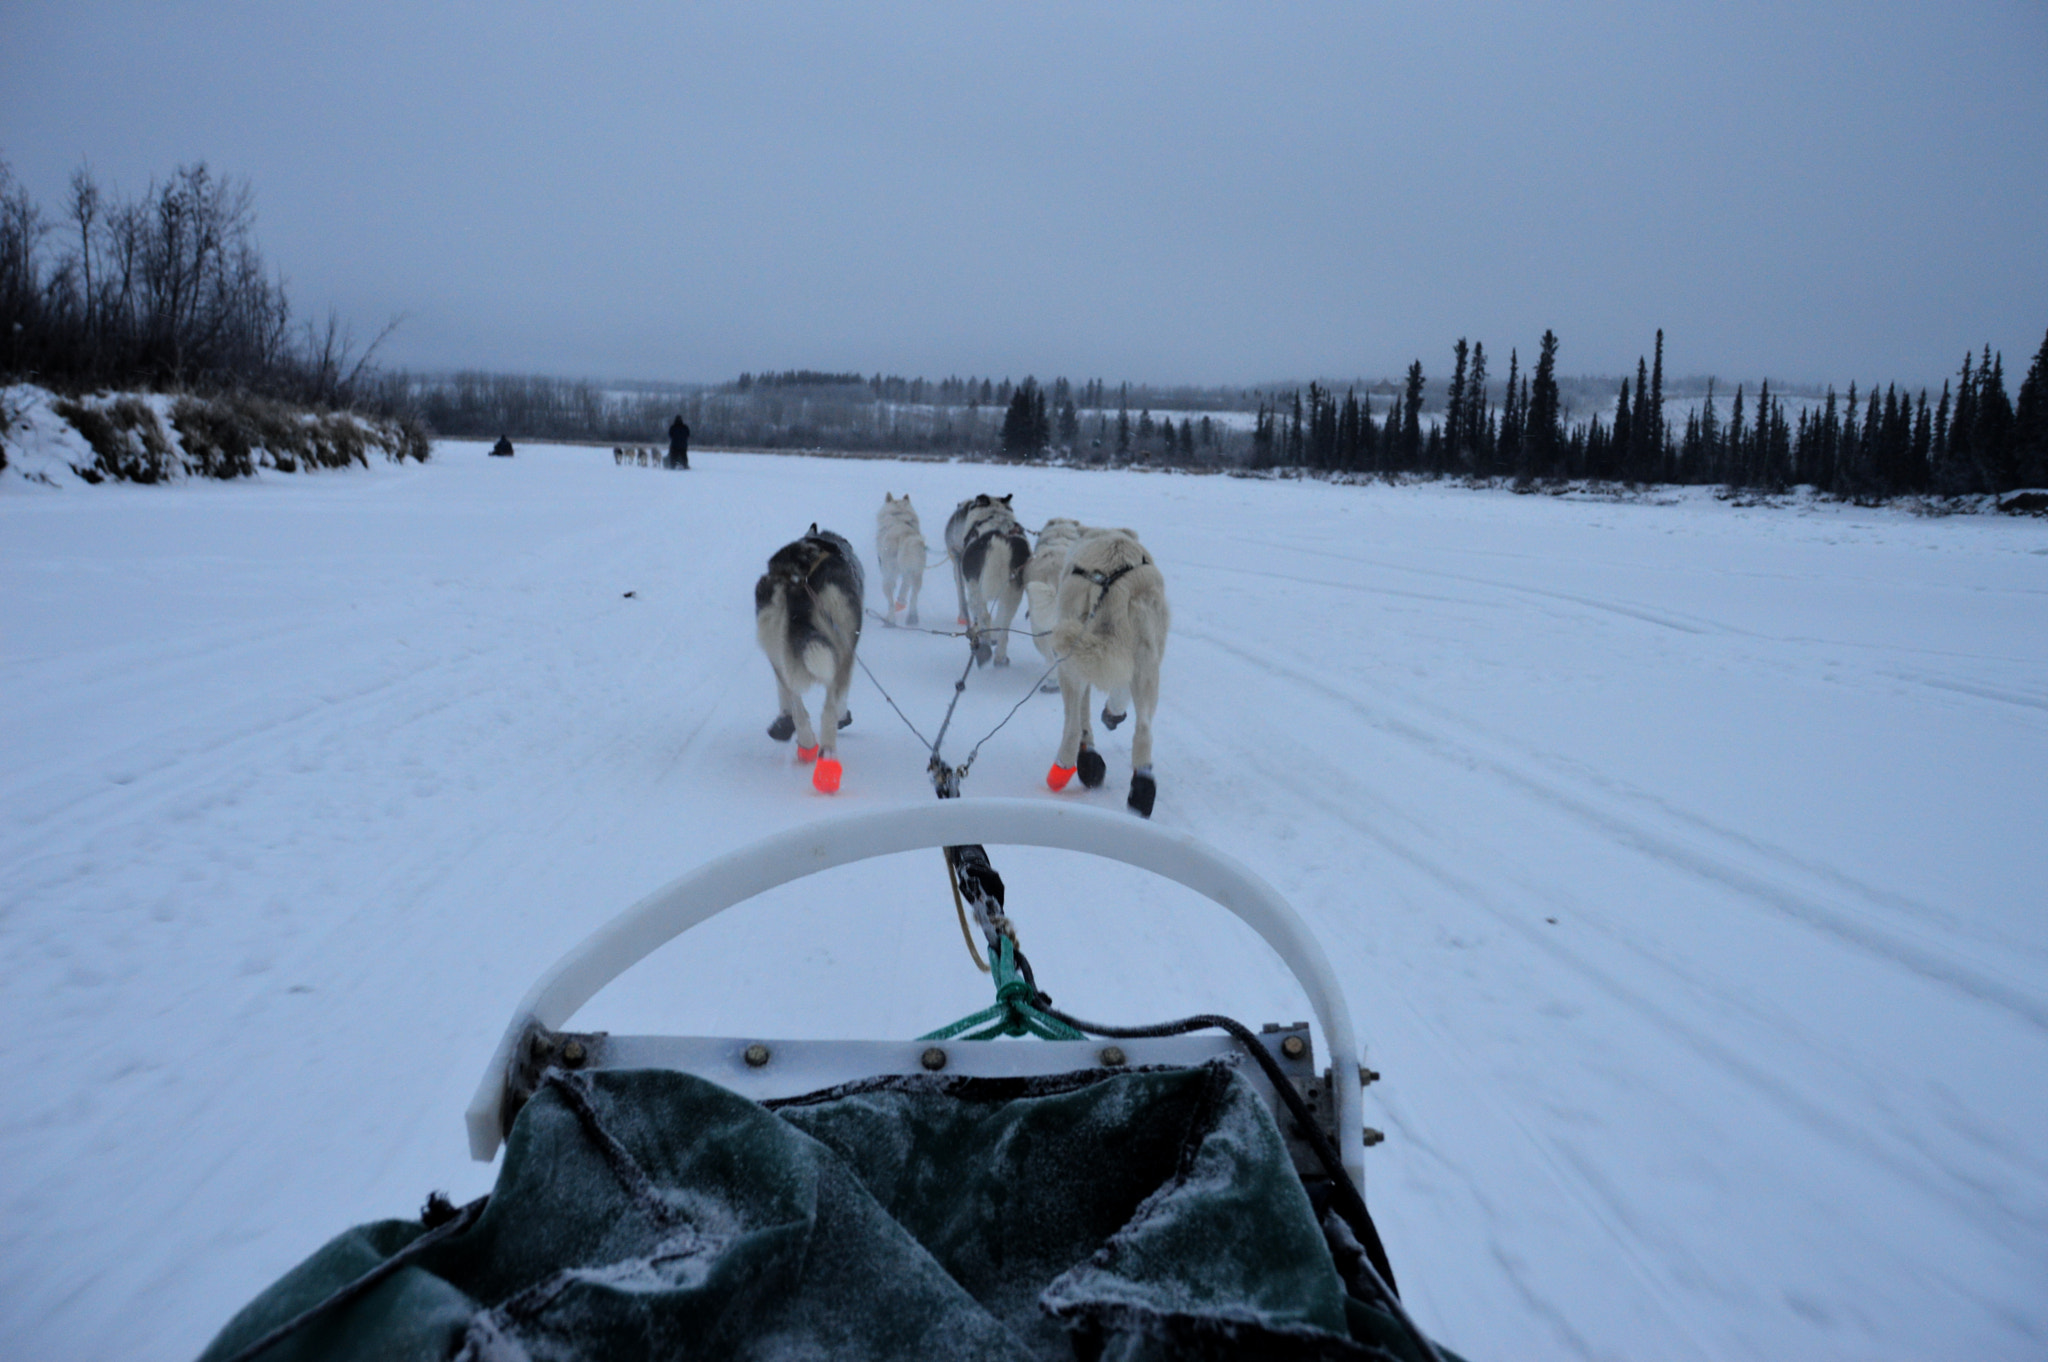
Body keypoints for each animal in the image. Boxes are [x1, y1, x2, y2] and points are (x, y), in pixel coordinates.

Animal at [757, 524, 860, 790]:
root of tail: (798, 581)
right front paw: (844, 717)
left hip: (774, 640)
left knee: (795, 700)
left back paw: (804, 742)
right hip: (840, 648)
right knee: (828, 711)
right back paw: (828, 761)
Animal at [872, 491, 929, 622]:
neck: (898, 516)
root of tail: (904, 536)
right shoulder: (908, 572)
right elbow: (905, 587)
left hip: (888, 576)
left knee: (890, 602)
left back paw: (889, 620)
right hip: (917, 575)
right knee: (913, 596)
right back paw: (912, 618)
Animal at [950, 493, 1032, 663]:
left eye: (971, 504)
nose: (959, 504)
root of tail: (1000, 537)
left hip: (976, 590)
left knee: (985, 617)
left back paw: (984, 643)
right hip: (1014, 593)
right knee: (1004, 624)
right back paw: (1000, 657)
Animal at [1056, 524, 1171, 811]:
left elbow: (1083, 715)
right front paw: (1113, 714)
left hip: (1069, 659)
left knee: (1073, 726)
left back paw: (1066, 766)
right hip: (1147, 661)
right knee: (1143, 732)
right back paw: (1142, 788)